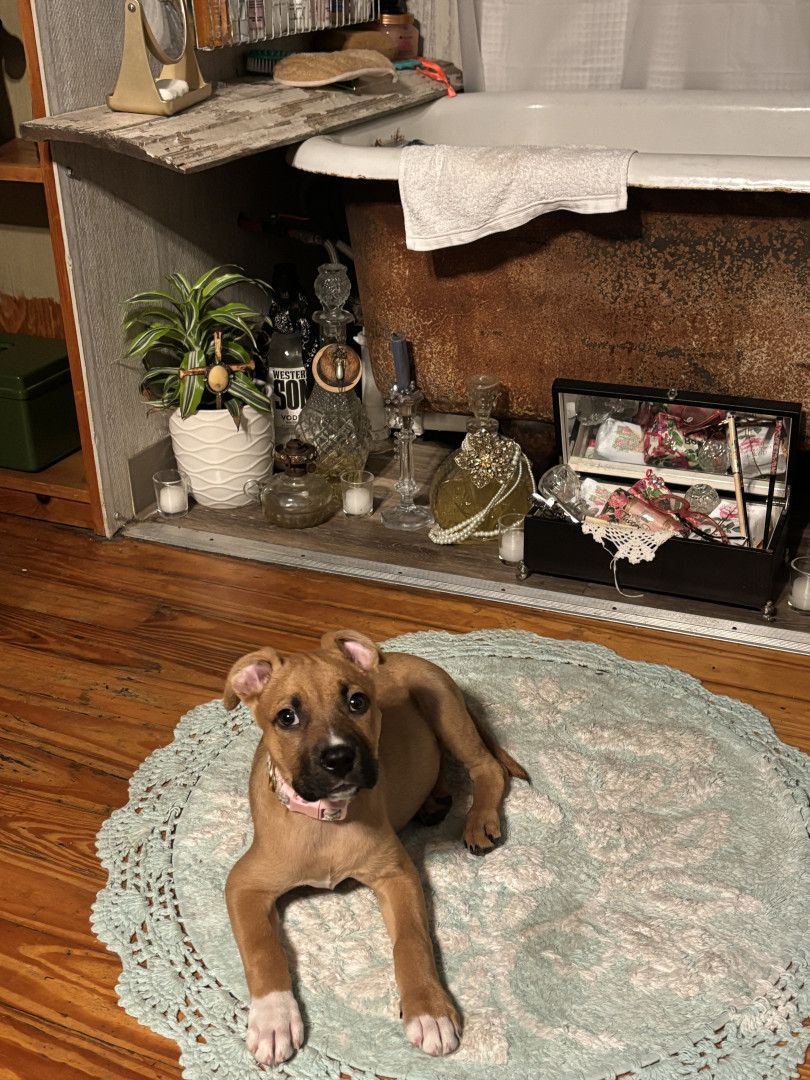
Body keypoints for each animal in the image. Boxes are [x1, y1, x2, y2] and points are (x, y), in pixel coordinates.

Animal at [223, 630, 527, 1066]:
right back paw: (434, 800)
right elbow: (263, 948)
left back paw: (479, 819)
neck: (327, 819)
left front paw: (429, 1011)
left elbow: (412, 941)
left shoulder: (397, 874)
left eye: (357, 702)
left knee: (488, 767)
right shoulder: (244, 884)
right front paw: (273, 1019)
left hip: (444, 709)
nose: (339, 758)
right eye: (286, 717)